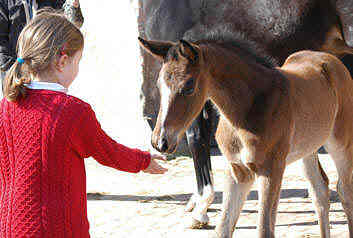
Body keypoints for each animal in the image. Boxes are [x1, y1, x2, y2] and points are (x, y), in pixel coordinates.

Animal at [138, 38, 353, 237]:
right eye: (159, 85)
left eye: (189, 86)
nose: (160, 141)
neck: (246, 110)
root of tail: (329, 59)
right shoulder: (238, 171)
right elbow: (223, 229)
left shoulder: (271, 170)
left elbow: (264, 230)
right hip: (308, 148)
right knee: (320, 190)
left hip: (340, 143)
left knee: (344, 190)